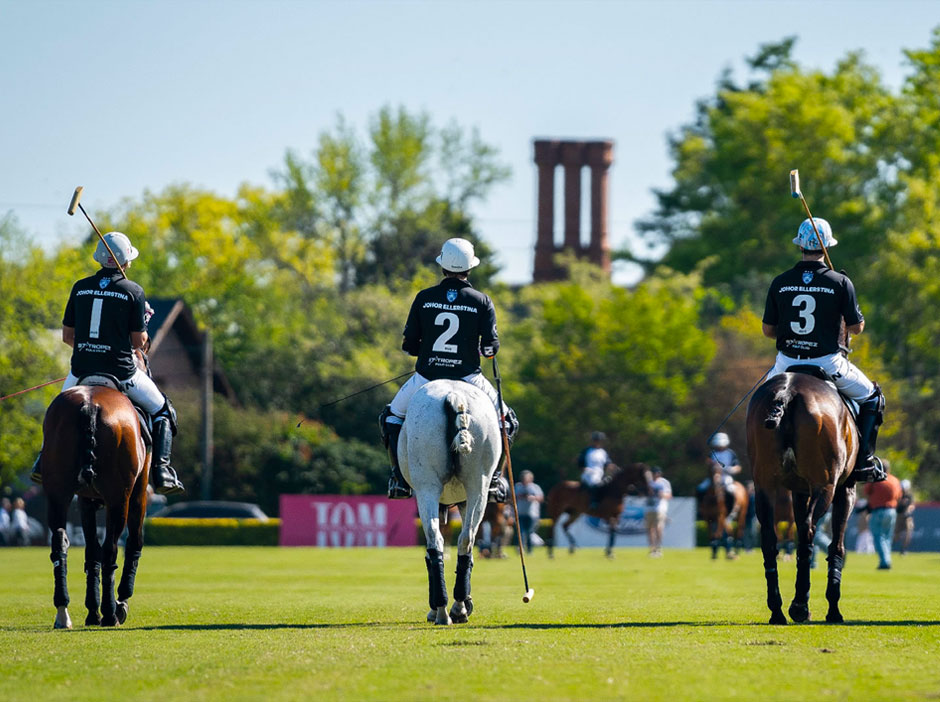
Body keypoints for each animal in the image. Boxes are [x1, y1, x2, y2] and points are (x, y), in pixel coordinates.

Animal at [42, 380, 151, 632]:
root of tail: (89, 405)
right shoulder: (139, 492)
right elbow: (133, 543)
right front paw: (120, 604)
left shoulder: (85, 500)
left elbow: (91, 552)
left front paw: (92, 611)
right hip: (119, 497)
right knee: (111, 549)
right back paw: (111, 614)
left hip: (57, 492)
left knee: (59, 542)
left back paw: (63, 612)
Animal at [400, 380, 504, 628]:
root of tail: (455, 395)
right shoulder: (464, 500)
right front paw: (464, 603)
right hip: (478, 485)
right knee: (466, 539)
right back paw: (456, 607)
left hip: (427, 486)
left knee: (435, 540)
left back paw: (442, 610)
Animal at [748, 374, 860, 628]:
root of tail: (786, 393)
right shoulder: (845, 490)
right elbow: (837, 546)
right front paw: (833, 610)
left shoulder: (799, 491)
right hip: (825, 485)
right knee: (809, 532)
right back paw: (799, 605)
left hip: (764, 485)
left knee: (770, 539)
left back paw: (777, 611)